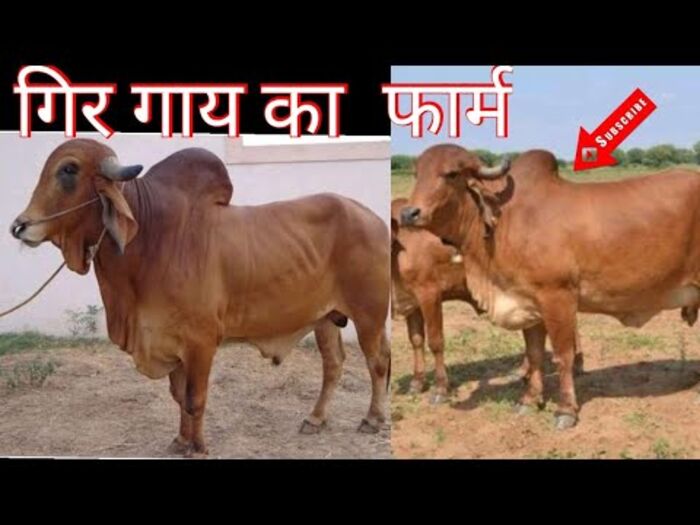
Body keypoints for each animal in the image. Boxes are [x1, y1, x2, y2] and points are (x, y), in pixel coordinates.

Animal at [10, 139, 390, 456]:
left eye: (68, 170)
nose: (19, 226)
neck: (152, 237)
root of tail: (374, 219)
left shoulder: (201, 342)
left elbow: (194, 399)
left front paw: (198, 447)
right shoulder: (170, 340)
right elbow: (178, 397)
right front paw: (181, 441)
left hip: (369, 315)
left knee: (378, 362)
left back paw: (373, 419)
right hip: (325, 318)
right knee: (334, 364)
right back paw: (315, 419)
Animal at [397, 144, 680, 429]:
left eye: (452, 174)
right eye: (416, 173)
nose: (409, 213)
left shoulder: (555, 295)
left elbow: (561, 354)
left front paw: (566, 409)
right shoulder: (528, 302)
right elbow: (534, 353)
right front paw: (530, 400)